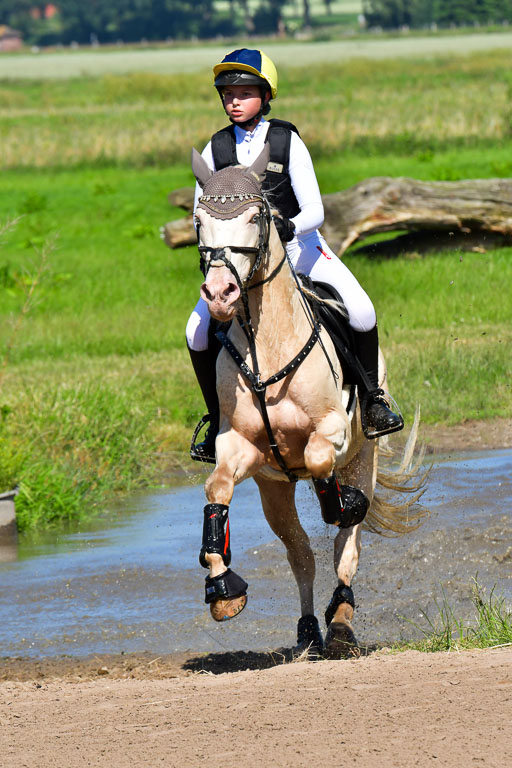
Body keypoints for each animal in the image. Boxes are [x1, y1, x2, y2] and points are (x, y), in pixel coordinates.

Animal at [191, 144, 426, 658]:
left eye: (256, 215)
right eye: (199, 219)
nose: (220, 294)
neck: (267, 343)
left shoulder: (331, 430)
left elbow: (321, 463)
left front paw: (342, 503)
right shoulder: (239, 448)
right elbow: (216, 492)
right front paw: (222, 590)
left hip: (363, 454)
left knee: (346, 547)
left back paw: (340, 623)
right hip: (273, 488)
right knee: (299, 552)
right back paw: (307, 631)